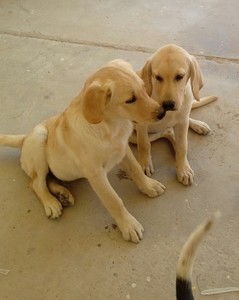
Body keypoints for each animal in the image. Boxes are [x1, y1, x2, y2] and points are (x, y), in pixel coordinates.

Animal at [0, 59, 168, 244]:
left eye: (144, 87)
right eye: (130, 100)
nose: (162, 113)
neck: (110, 126)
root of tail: (25, 138)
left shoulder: (123, 150)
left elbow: (136, 170)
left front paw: (149, 186)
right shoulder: (96, 174)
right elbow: (113, 200)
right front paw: (128, 225)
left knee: (46, 179)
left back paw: (62, 193)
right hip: (39, 137)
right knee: (36, 183)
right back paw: (51, 203)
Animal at [130, 44, 218, 185]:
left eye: (180, 76)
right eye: (157, 77)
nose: (168, 105)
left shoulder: (182, 123)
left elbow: (183, 147)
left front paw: (183, 170)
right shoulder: (142, 124)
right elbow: (144, 144)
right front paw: (145, 164)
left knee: (176, 126)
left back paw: (198, 125)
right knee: (166, 132)